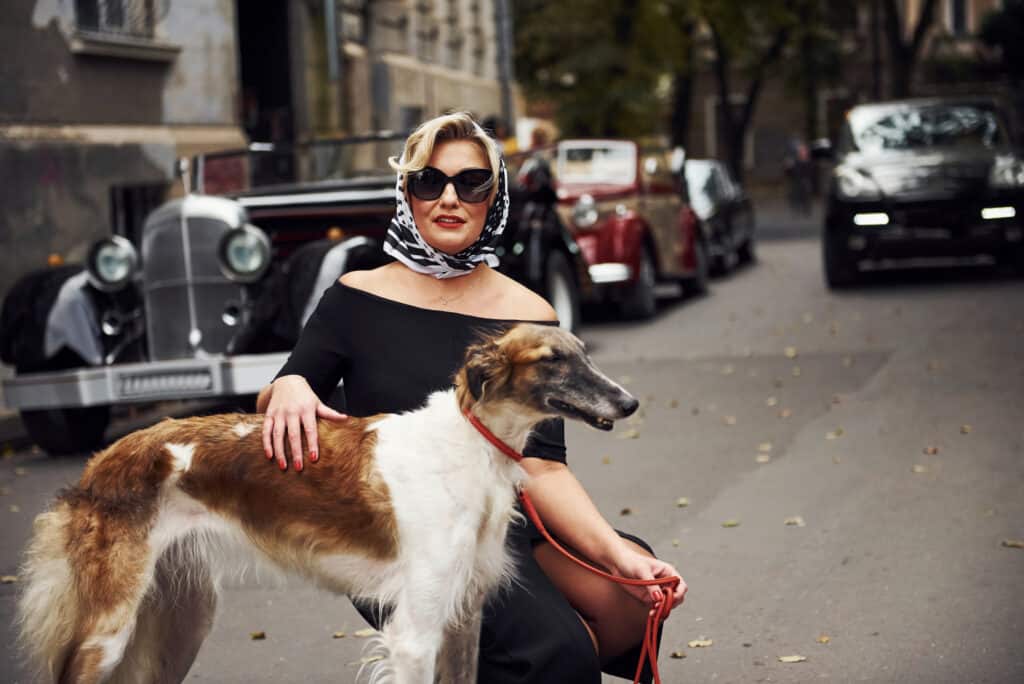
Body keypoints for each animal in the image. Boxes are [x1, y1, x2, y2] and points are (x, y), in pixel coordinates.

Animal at [16, 321, 634, 684]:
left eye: (584, 353)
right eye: (553, 359)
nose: (629, 404)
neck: (471, 442)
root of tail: (101, 461)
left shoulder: (464, 620)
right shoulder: (415, 632)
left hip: (176, 619)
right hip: (109, 629)